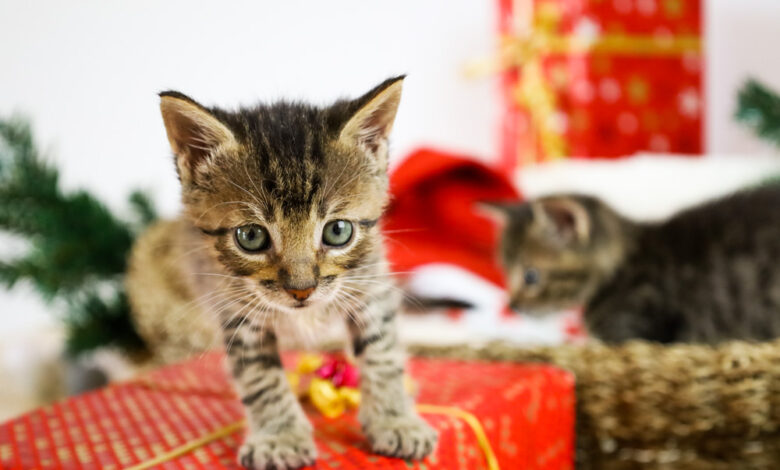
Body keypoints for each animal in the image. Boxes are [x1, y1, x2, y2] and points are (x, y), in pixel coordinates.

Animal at [125, 76, 437, 469]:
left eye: (338, 231)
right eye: (251, 236)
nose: (302, 290)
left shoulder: (370, 285)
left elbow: (383, 352)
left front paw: (395, 421)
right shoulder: (237, 312)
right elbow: (260, 377)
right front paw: (280, 437)